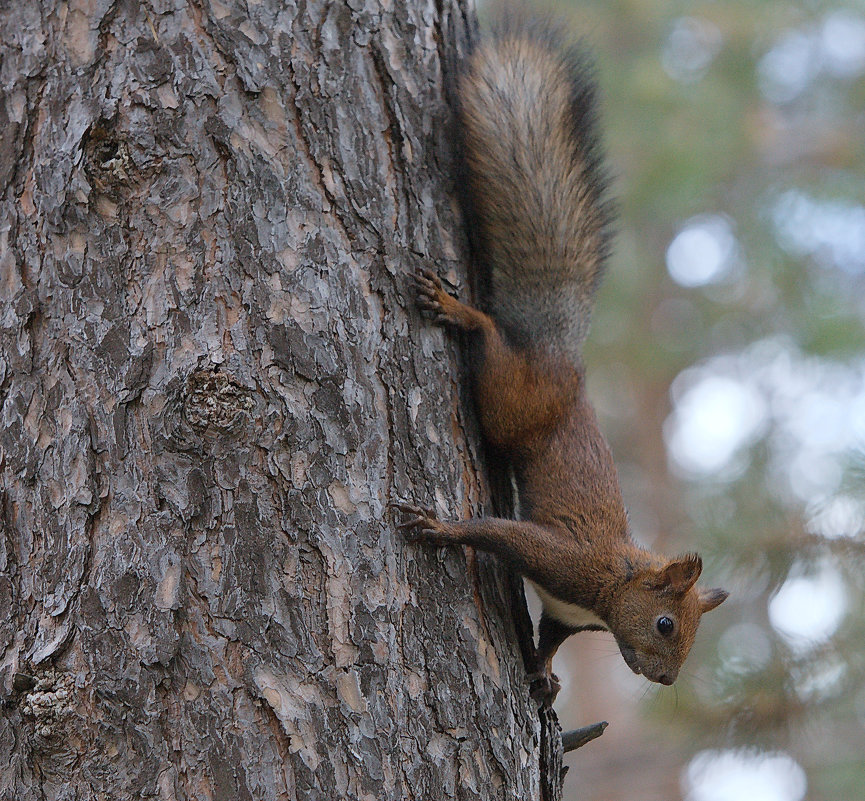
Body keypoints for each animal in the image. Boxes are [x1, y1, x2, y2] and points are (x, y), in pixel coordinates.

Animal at [394, 15, 724, 696]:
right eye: (665, 625)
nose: (667, 682)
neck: (611, 586)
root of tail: (560, 353)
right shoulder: (562, 558)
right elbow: (492, 532)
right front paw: (440, 528)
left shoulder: (567, 612)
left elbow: (550, 638)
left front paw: (544, 676)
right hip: (511, 399)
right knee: (493, 342)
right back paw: (458, 311)